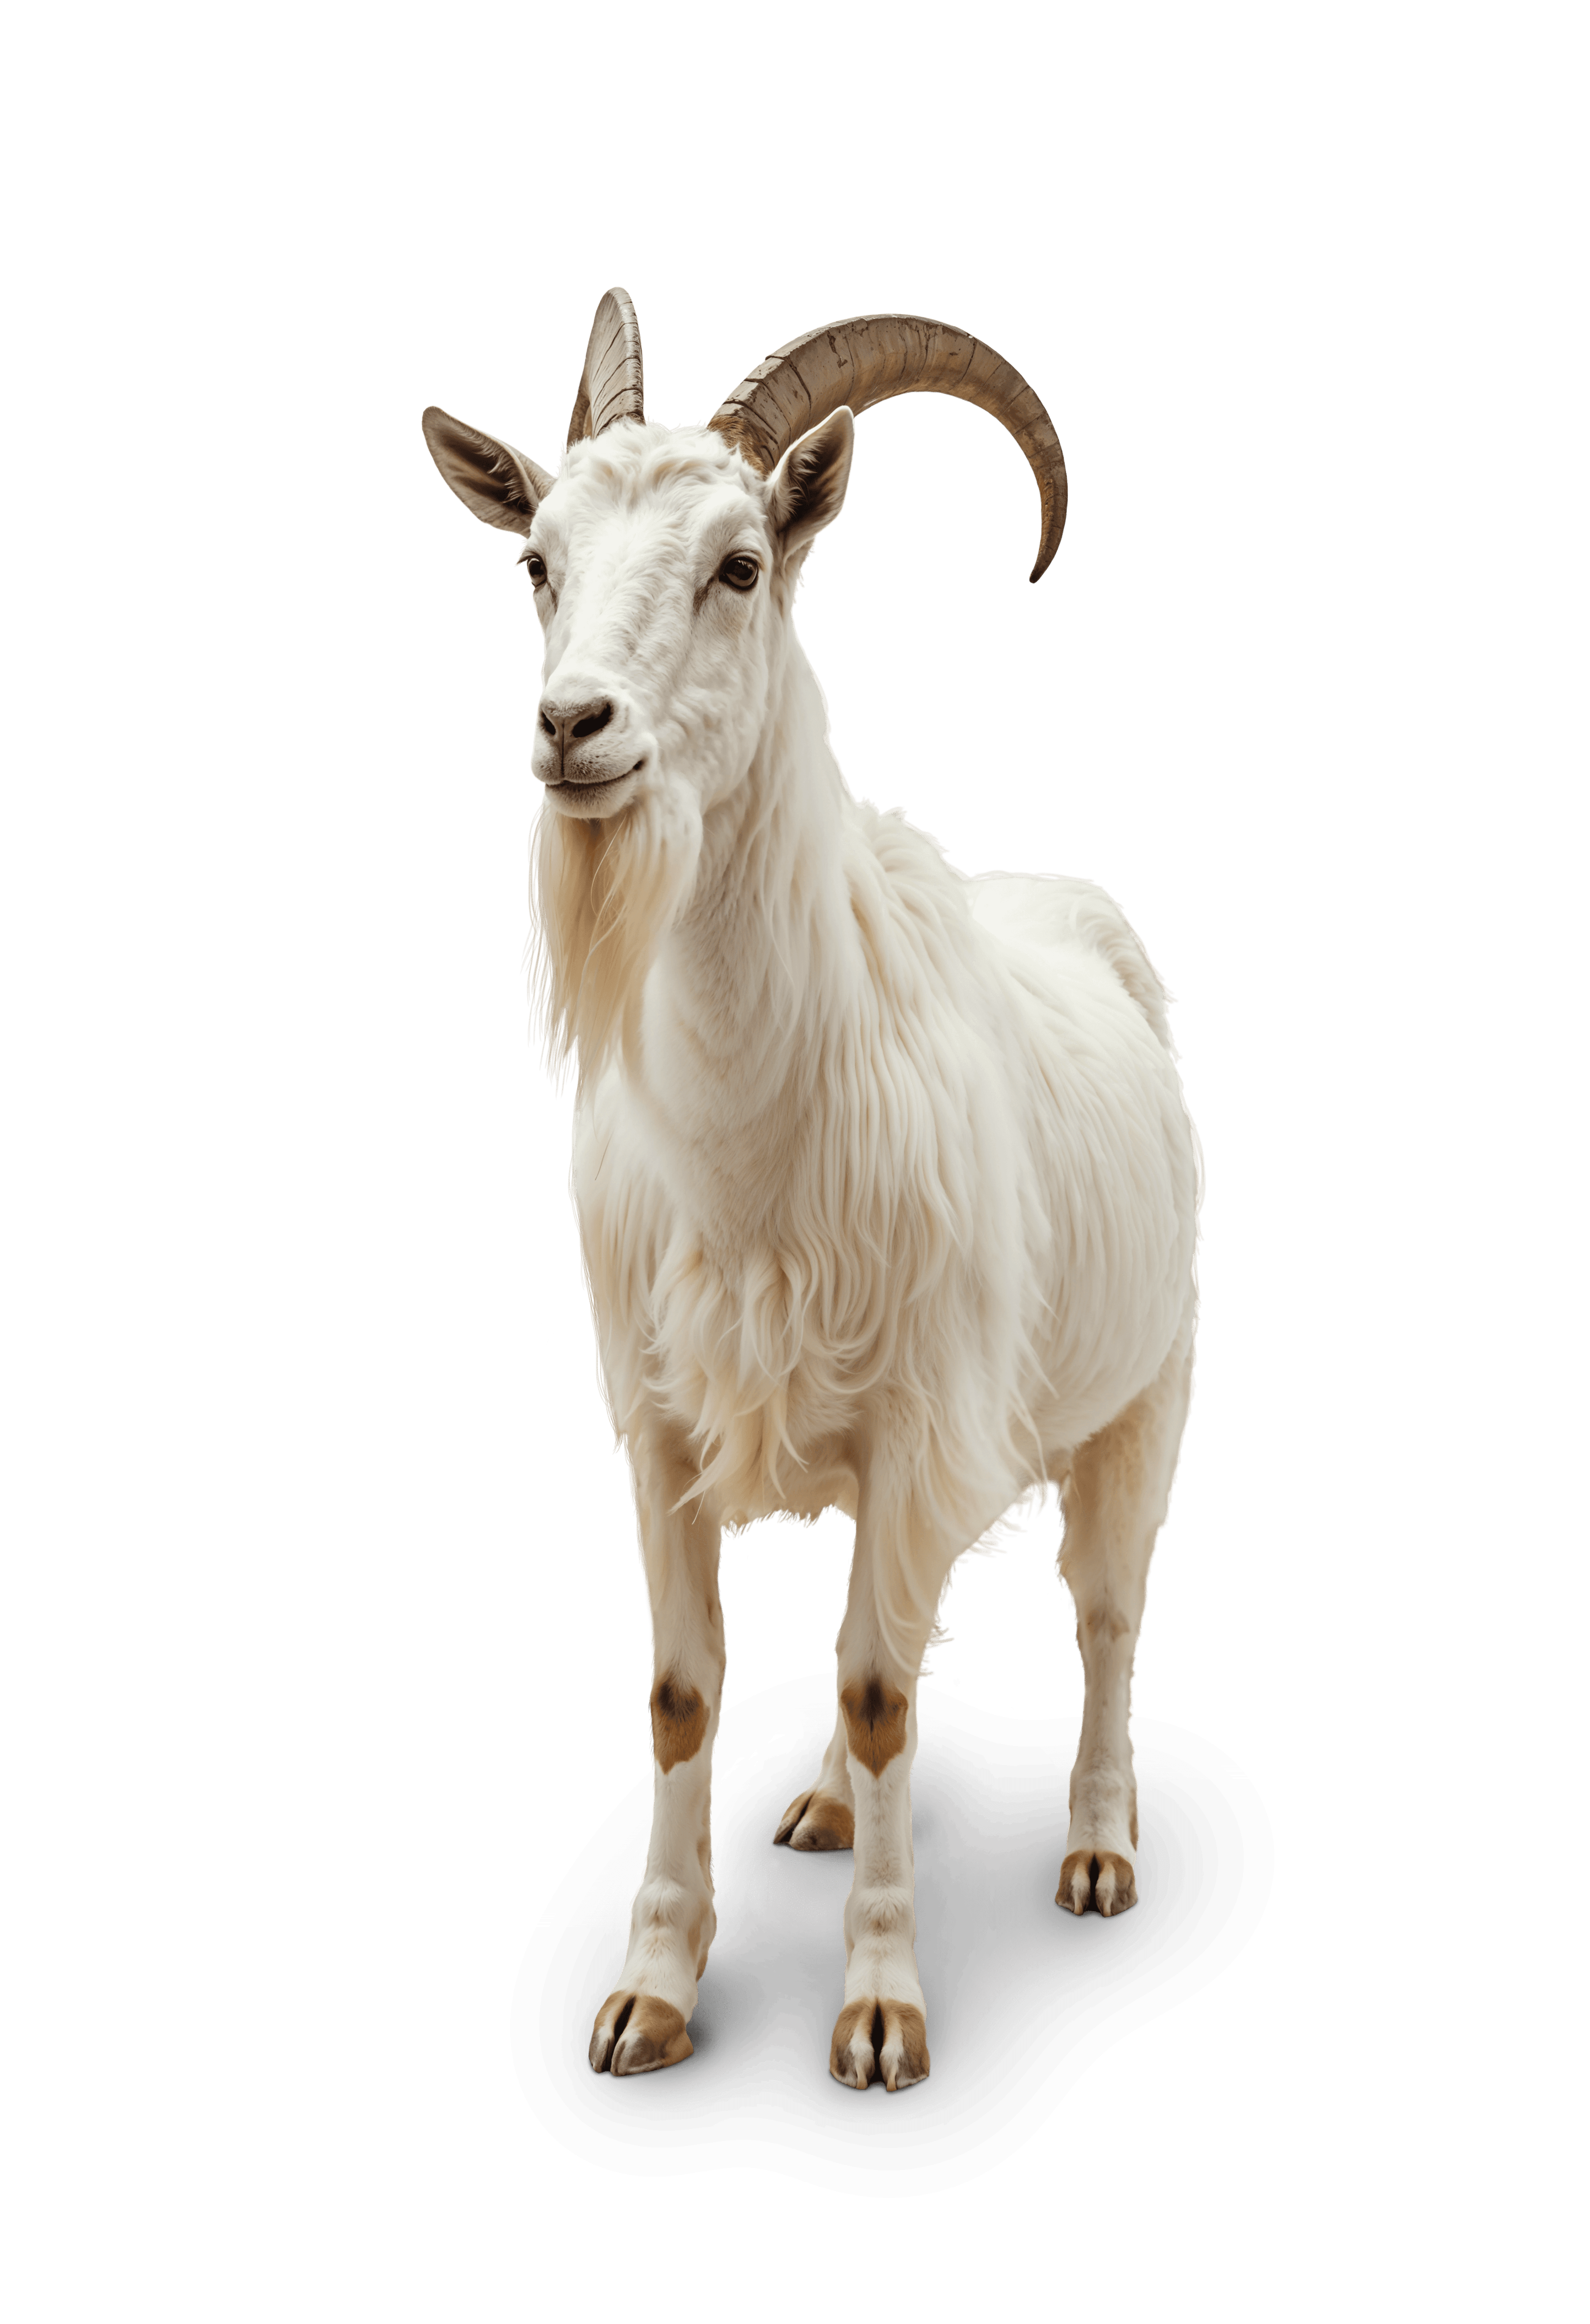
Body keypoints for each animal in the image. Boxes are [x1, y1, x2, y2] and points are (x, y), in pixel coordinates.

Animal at [422, 291, 1203, 2092]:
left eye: (737, 564)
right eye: (538, 563)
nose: (576, 731)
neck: (754, 1136)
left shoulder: (928, 1413)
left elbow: (876, 1690)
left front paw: (881, 2014)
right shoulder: (660, 1423)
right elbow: (687, 1689)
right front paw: (649, 1995)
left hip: (1146, 1390)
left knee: (1101, 1608)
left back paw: (1099, 1846)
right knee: (893, 1622)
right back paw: (837, 1816)